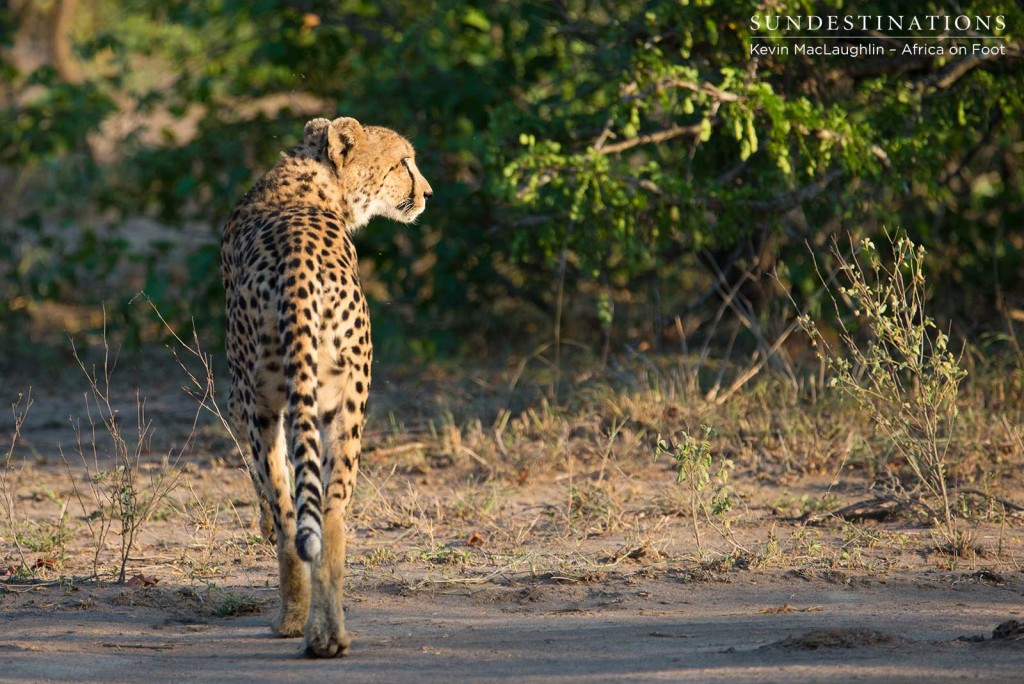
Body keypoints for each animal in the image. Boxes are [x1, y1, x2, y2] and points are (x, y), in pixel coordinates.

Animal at [220, 116, 432, 655]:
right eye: (403, 162)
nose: (426, 192)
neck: (312, 180)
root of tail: (298, 264)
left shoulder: (239, 397)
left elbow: (267, 489)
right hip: (345, 404)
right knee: (331, 513)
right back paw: (327, 633)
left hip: (266, 400)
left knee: (287, 509)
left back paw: (292, 620)